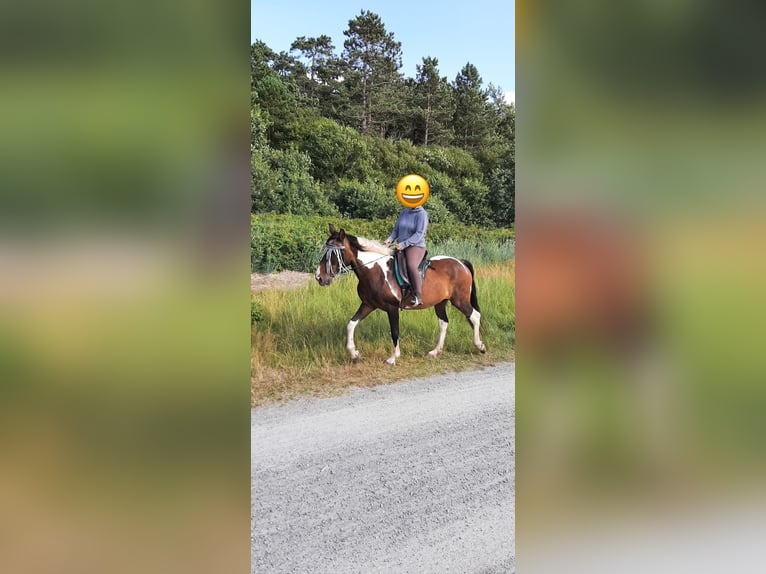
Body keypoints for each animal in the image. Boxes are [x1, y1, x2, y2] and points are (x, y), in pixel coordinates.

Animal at [315, 223, 486, 365]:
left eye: (333, 254)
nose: (319, 277)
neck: (374, 271)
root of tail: (461, 263)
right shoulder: (368, 305)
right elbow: (351, 324)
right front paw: (354, 354)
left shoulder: (392, 308)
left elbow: (395, 332)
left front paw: (393, 358)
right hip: (440, 302)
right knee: (444, 323)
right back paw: (435, 352)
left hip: (459, 300)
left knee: (474, 316)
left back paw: (480, 346)